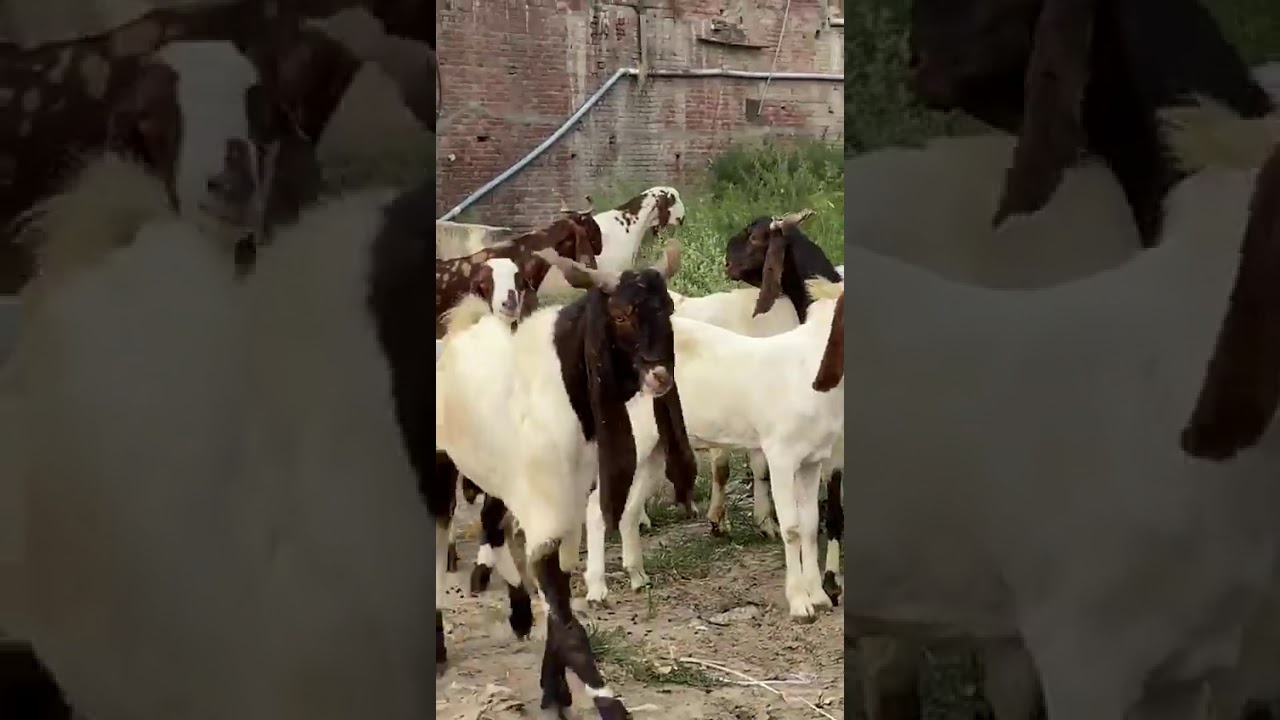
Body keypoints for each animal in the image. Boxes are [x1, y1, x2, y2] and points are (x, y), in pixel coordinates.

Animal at [435, 243, 696, 718]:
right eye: (621, 315)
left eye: (667, 308)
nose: (660, 376)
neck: (561, 391)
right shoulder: (547, 515)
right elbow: (568, 623)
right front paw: (608, 702)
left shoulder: (566, 509)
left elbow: (559, 608)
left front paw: (554, 689)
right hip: (444, 465)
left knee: (496, 526)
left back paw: (518, 611)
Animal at [583, 279, 845, 621]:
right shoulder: (781, 456)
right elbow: (792, 528)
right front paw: (801, 603)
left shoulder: (812, 460)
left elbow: (811, 526)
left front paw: (820, 597)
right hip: (629, 436)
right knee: (594, 506)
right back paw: (596, 591)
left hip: (655, 448)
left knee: (629, 508)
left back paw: (638, 577)